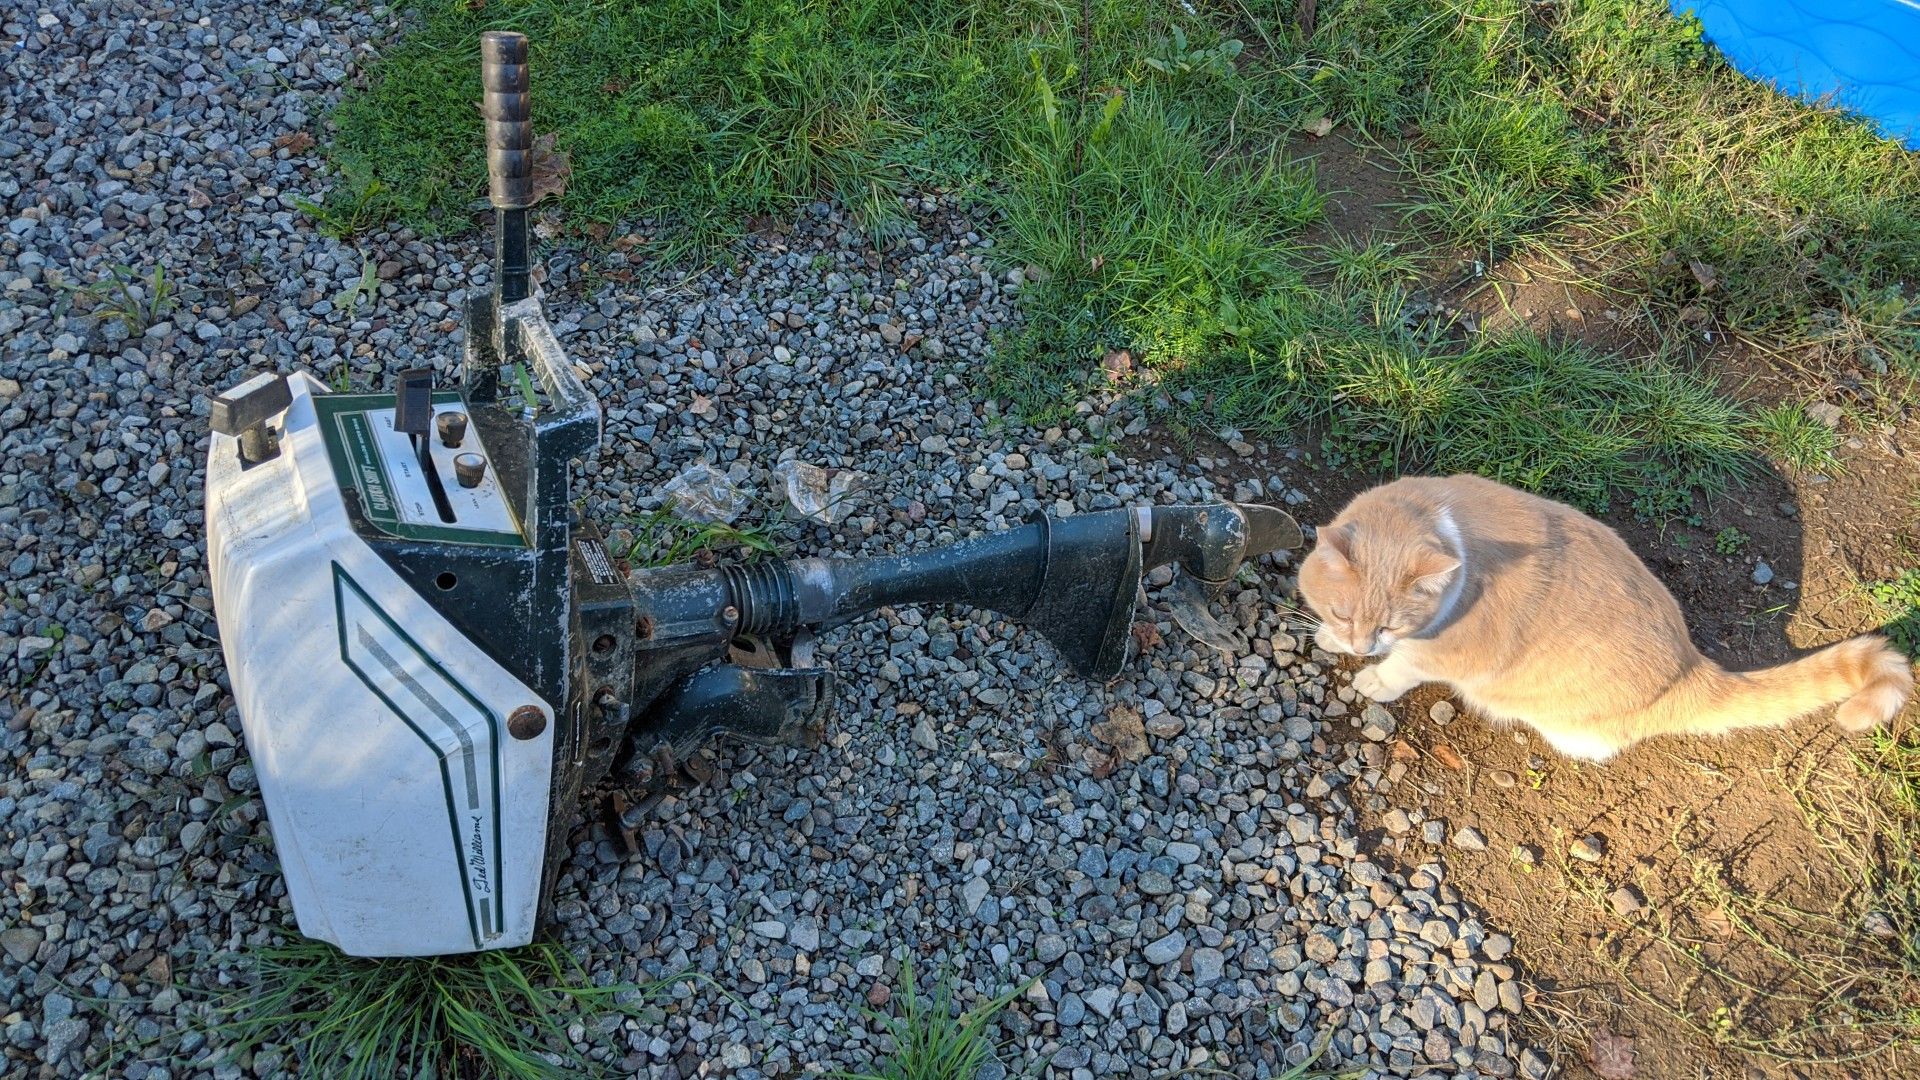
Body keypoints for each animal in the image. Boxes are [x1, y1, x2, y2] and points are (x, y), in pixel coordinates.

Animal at [1297, 470, 1912, 757]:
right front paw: (1331, 640)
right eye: (1345, 614)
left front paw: (1374, 677)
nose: (1361, 645)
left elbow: (1403, 667)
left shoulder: (1442, 654)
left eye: (1391, 624)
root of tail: (1693, 666)